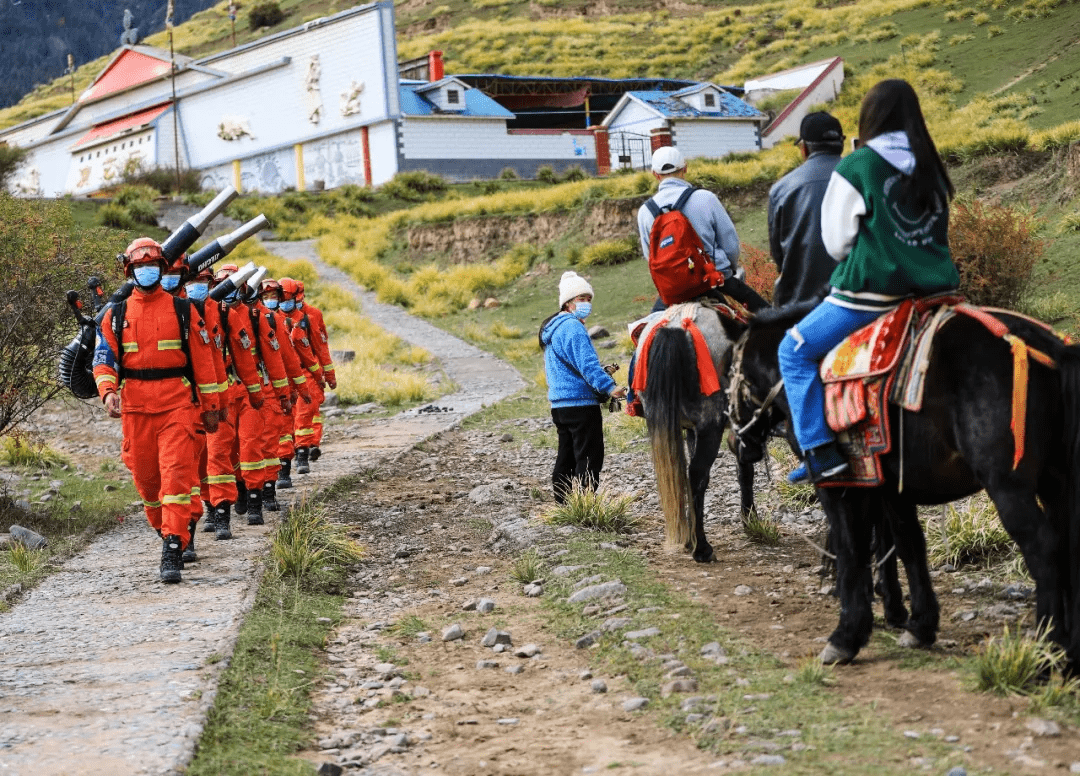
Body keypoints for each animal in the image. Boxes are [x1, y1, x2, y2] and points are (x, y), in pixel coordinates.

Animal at [717, 304, 1080, 669]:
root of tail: (1048, 349)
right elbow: (908, 544)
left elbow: (852, 549)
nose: (734, 442)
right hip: (1056, 482)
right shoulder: (892, 488)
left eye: (726, 374)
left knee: (1043, 548)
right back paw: (1067, 647)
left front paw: (847, 635)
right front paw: (920, 624)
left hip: (1008, 486)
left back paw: (1048, 650)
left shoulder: (838, 487)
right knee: (1065, 545)